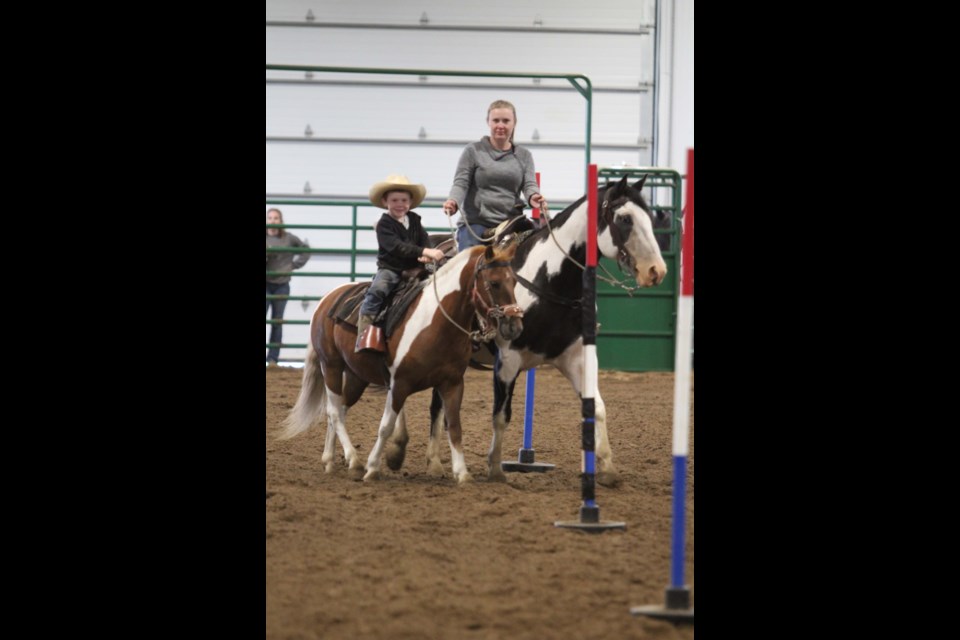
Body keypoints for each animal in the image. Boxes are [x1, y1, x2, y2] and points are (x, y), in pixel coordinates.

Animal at [278, 240, 524, 484]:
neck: (437, 323)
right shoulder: (399, 384)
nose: (514, 326)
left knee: (341, 408)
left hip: (357, 377)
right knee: (335, 412)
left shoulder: (453, 383)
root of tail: (327, 297)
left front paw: (462, 472)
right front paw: (373, 467)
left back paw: (330, 460)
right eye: (494, 283)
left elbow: (454, 426)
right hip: (331, 367)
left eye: (514, 281)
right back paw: (354, 461)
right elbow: (386, 426)